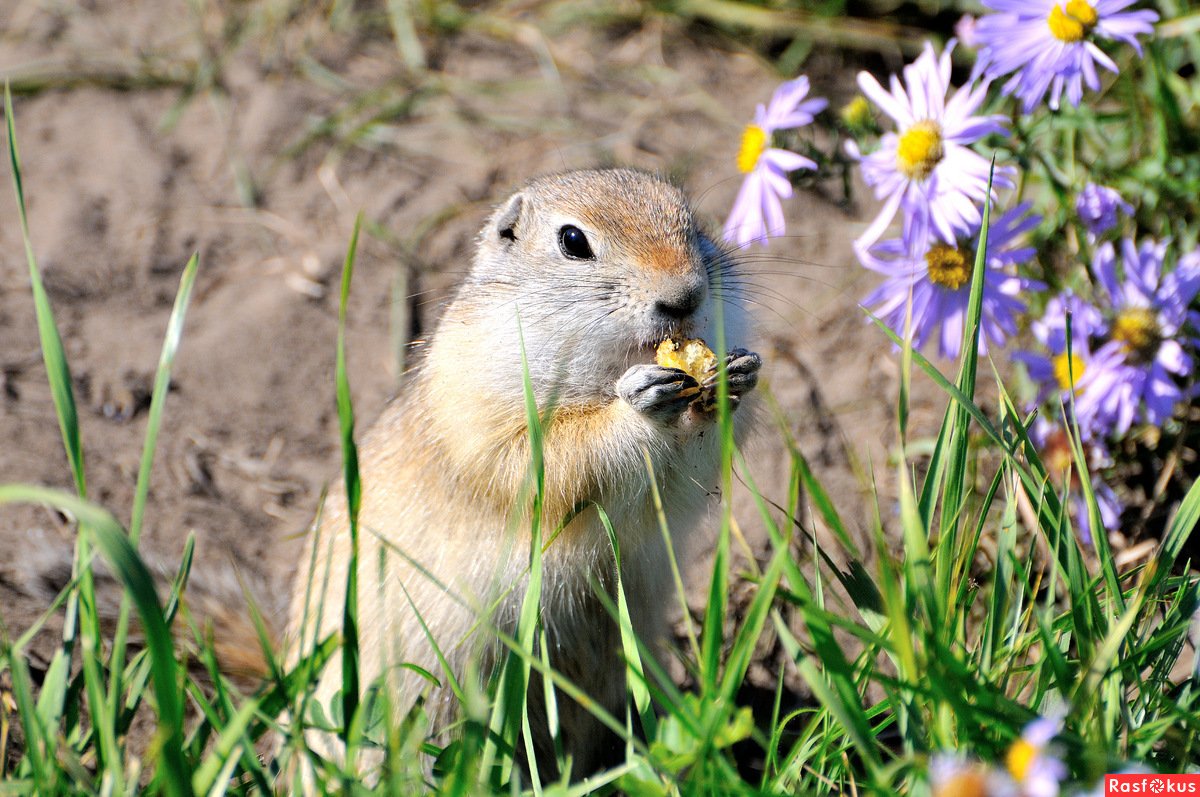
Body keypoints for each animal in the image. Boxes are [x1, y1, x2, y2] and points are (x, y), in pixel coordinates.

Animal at [285, 166, 763, 772]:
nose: (685, 297)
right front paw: (640, 403)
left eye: (692, 221)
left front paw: (737, 375)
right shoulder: (478, 402)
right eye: (573, 241)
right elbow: (543, 462)